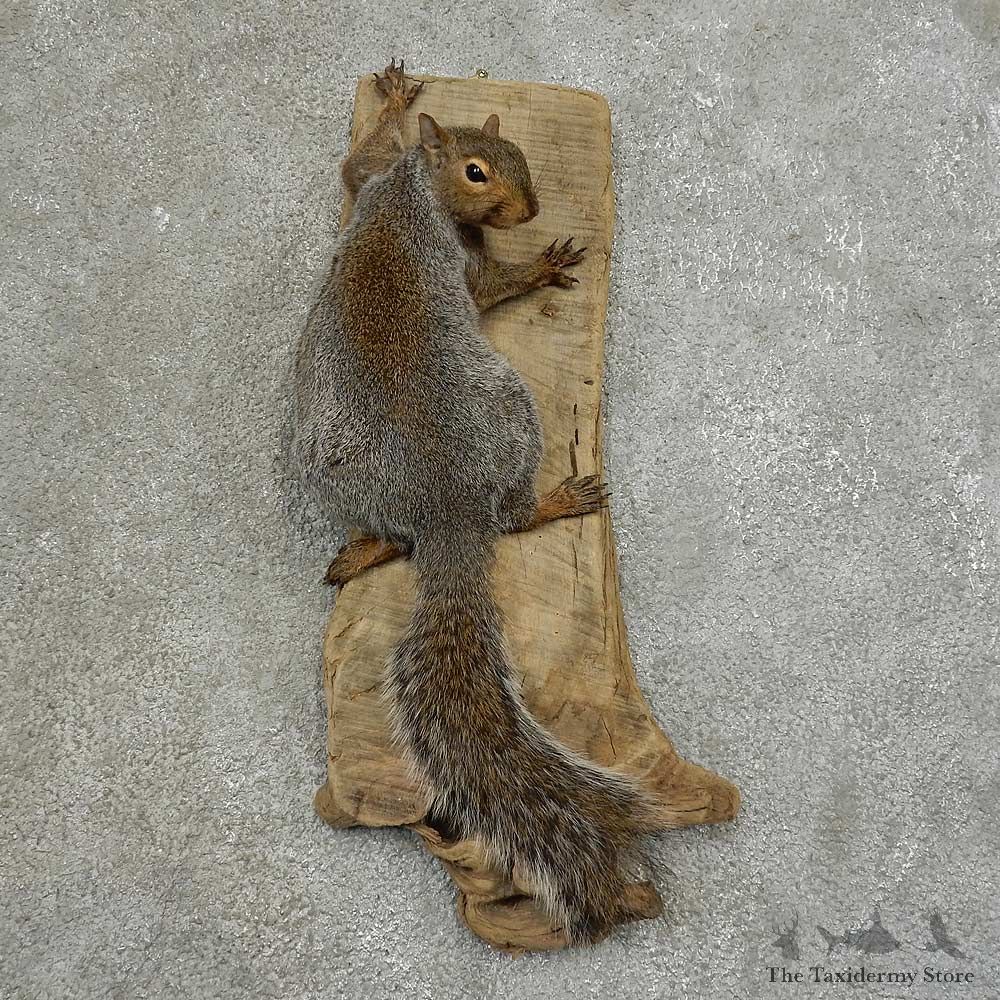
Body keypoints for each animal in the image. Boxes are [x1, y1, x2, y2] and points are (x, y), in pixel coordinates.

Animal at [292, 60, 662, 944]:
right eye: (476, 171)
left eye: (520, 152)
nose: (530, 212)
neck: (414, 192)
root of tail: (445, 510)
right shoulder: (446, 245)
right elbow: (487, 283)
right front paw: (542, 264)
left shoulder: (372, 181)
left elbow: (353, 164)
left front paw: (395, 98)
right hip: (516, 412)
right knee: (509, 518)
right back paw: (555, 500)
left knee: (392, 538)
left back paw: (365, 547)